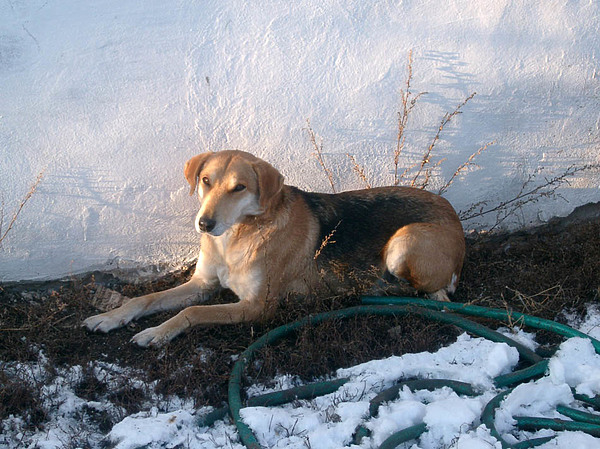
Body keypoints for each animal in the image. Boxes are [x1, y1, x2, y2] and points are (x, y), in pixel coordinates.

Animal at [83, 150, 464, 346]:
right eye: (205, 181)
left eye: (239, 187)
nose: (204, 224)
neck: (236, 237)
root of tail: (452, 212)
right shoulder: (202, 284)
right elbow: (144, 299)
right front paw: (111, 317)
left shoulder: (256, 306)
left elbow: (191, 313)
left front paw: (156, 333)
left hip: (404, 242)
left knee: (436, 292)